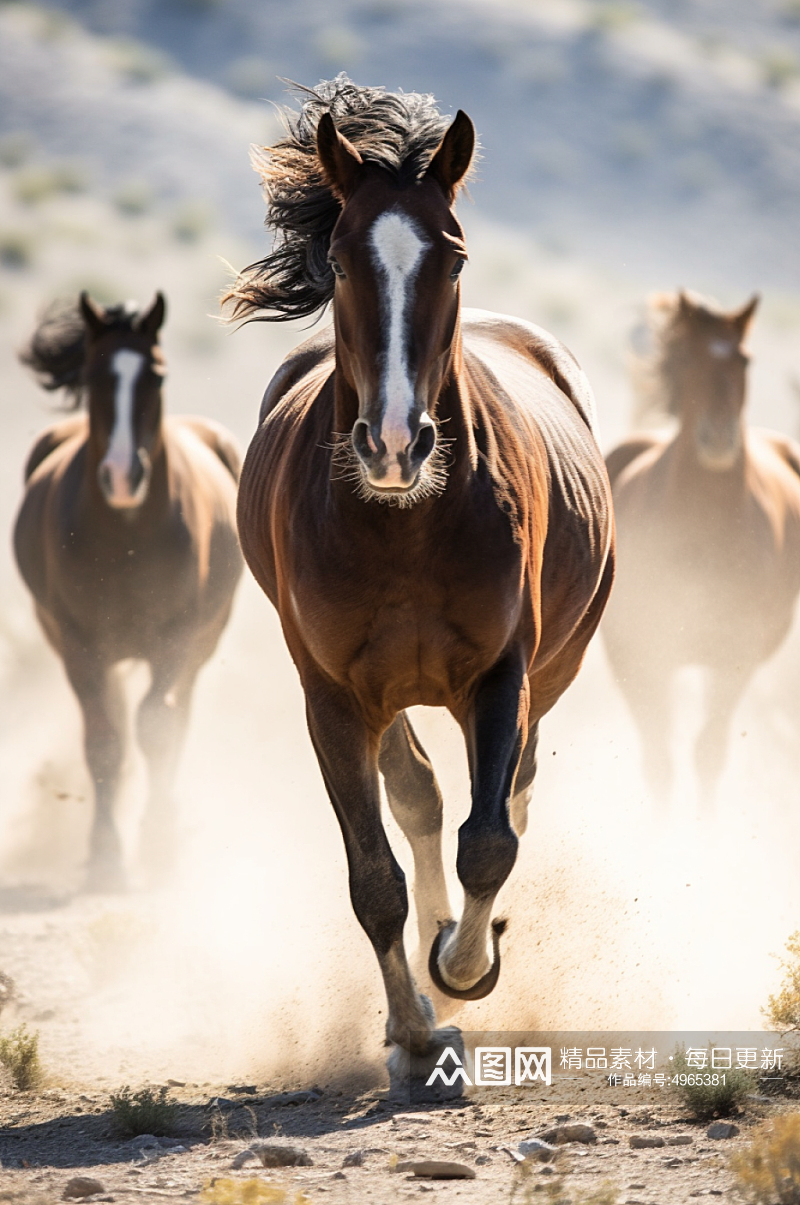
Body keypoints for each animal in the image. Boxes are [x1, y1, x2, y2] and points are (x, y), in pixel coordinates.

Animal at [12, 295, 242, 891]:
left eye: (157, 376)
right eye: (94, 375)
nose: (121, 475)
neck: (127, 535)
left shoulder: (177, 640)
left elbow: (157, 730)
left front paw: (156, 842)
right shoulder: (80, 646)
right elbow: (104, 742)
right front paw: (105, 855)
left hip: (200, 646)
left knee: (175, 719)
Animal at [225, 77, 612, 1084]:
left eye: (454, 255)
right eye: (341, 260)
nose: (396, 444)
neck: (405, 525)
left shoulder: (502, 673)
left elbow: (491, 839)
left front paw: (465, 967)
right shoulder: (332, 697)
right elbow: (375, 877)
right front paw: (411, 1032)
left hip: (551, 669)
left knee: (509, 792)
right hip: (387, 694)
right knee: (420, 797)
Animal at [602, 286, 800, 804]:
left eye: (745, 360)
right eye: (688, 358)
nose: (719, 439)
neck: (705, 527)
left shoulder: (734, 659)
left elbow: (708, 756)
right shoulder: (644, 655)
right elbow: (659, 763)